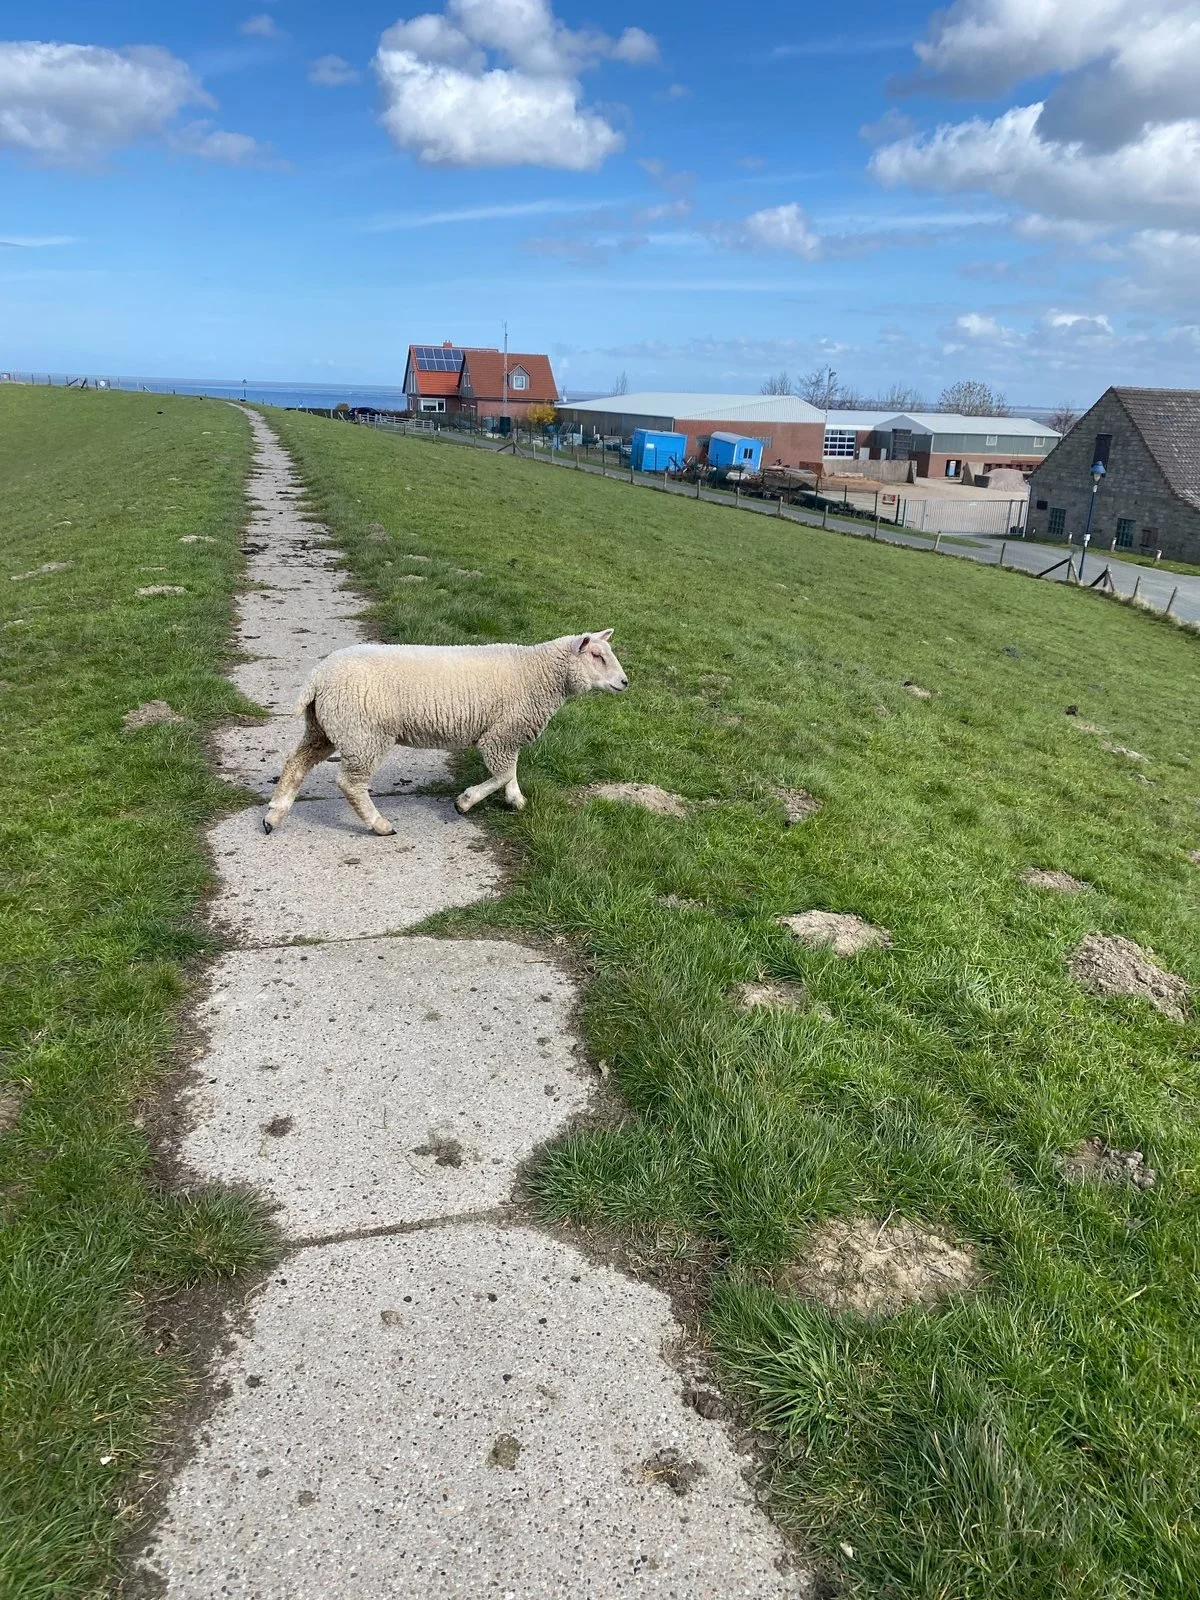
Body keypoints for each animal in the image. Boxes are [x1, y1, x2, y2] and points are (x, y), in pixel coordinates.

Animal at [262, 630, 628, 836]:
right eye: (596, 655)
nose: (625, 682)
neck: (538, 673)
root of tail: (319, 677)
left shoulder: (507, 734)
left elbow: (510, 772)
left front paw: (515, 800)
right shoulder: (499, 735)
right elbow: (502, 773)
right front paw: (464, 802)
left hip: (325, 727)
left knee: (296, 763)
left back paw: (274, 815)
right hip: (364, 733)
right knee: (350, 784)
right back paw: (380, 825)